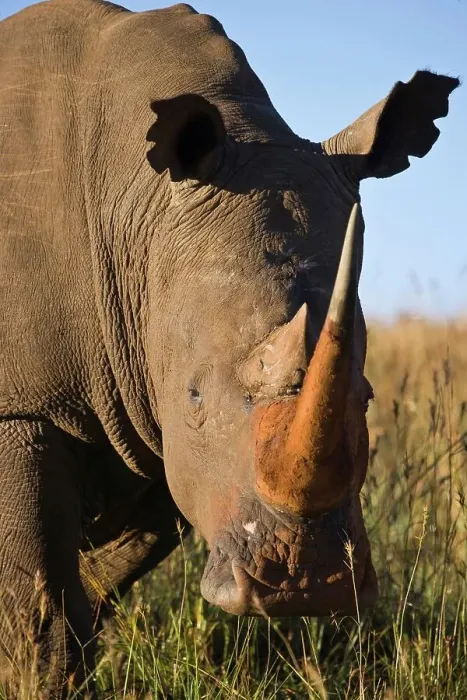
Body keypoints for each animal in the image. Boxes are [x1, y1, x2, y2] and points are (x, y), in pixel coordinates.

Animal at [0, 0, 458, 694]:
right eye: (193, 394)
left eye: (369, 395)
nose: (306, 586)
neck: (136, 207)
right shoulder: (27, 407)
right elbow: (38, 617)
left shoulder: (152, 415)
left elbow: (94, 585)